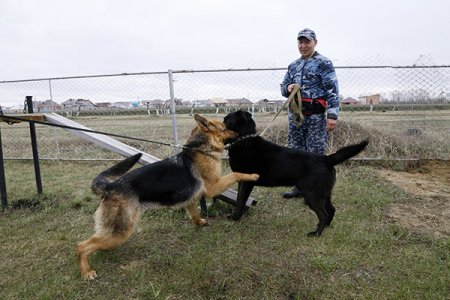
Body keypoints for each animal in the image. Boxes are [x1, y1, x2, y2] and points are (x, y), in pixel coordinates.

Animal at [76, 113, 260, 278]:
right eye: (225, 128)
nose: (238, 134)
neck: (201, 148)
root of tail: (111, 186)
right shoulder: (213, 187)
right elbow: (236, 174)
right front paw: (252, 175)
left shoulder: (192, 199)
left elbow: (195, 214)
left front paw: (200, 222)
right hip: (121, 230)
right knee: (81, 246)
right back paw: (86, 272)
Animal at [223, 110, 368, 237]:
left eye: (227, 120)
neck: (243, 139)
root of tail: (326, 159)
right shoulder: (241, 181)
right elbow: (238, 199)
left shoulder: (247, 182)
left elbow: (241, 201)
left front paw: (235, 218)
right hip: (324, 194)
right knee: (331, 210)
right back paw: (325, 227)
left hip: (312, 195)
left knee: (324, 214)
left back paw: (316, 233)